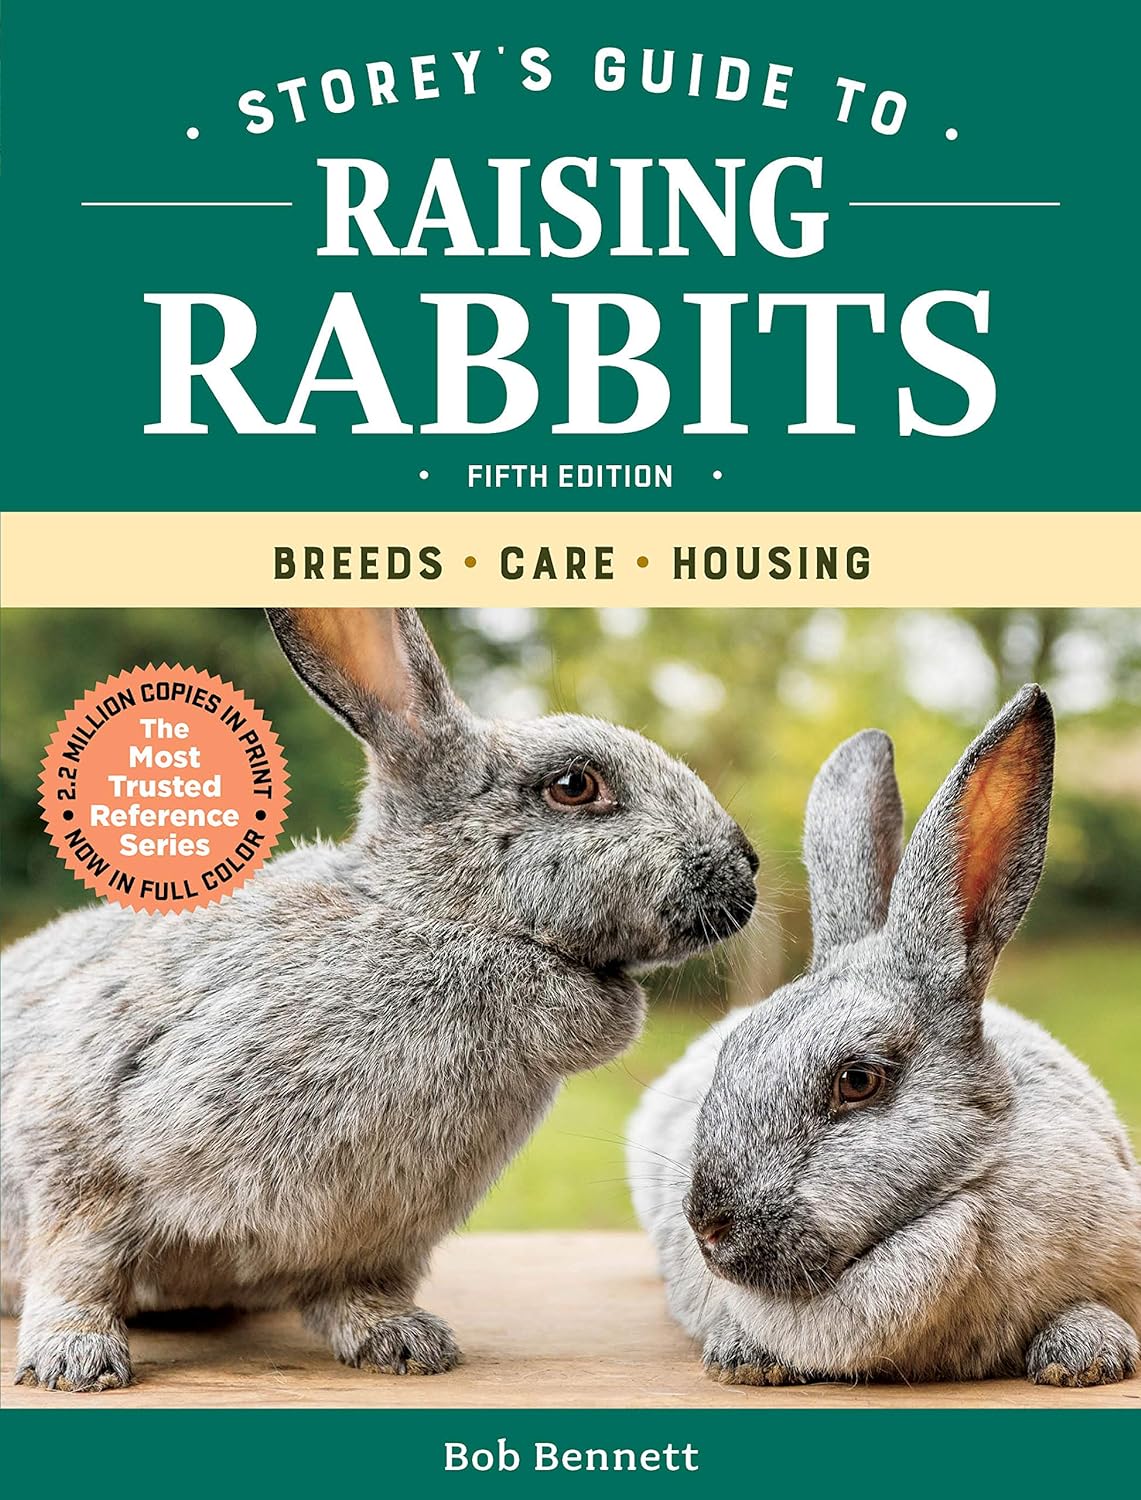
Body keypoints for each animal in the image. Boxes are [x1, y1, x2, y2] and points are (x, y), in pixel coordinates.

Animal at [2, 607, 758, 1391]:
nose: (747, 870)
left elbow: (356, 1291)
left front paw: (402, 1341)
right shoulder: (79, 1134)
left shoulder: (378, 1238)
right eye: (574, 785)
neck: (439, 919)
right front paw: (73, 1359)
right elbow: (77, 1266)